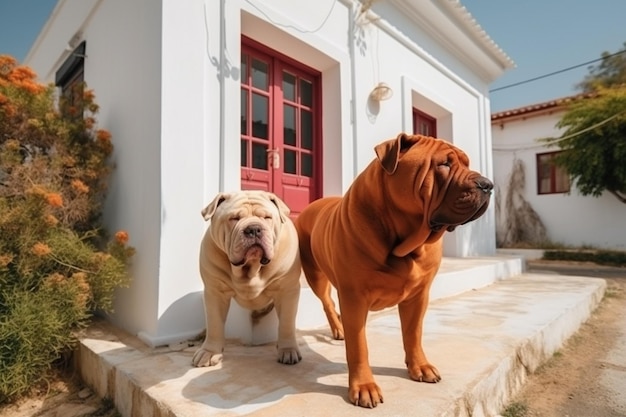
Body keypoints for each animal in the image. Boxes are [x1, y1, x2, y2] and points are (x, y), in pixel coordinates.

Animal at [193, 190, 302, 366]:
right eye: (234, 218)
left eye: (267, 217)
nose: (254, 229)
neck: (251, 267)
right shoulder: (215, 292)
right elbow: (214, 324)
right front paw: (209, 352)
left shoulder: (288, 290)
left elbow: (286, 323)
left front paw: (288, 350)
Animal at [294, 132, 494, 406]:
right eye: (444, 164)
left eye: (466, 163)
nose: (488, 184)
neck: (405, 244)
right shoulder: (354, 297)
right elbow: (359, 346)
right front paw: (364, 386)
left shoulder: (418, 295)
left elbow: (413, 334)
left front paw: (420, 366)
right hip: (315, 275)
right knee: (327, 301)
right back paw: (338, 328)